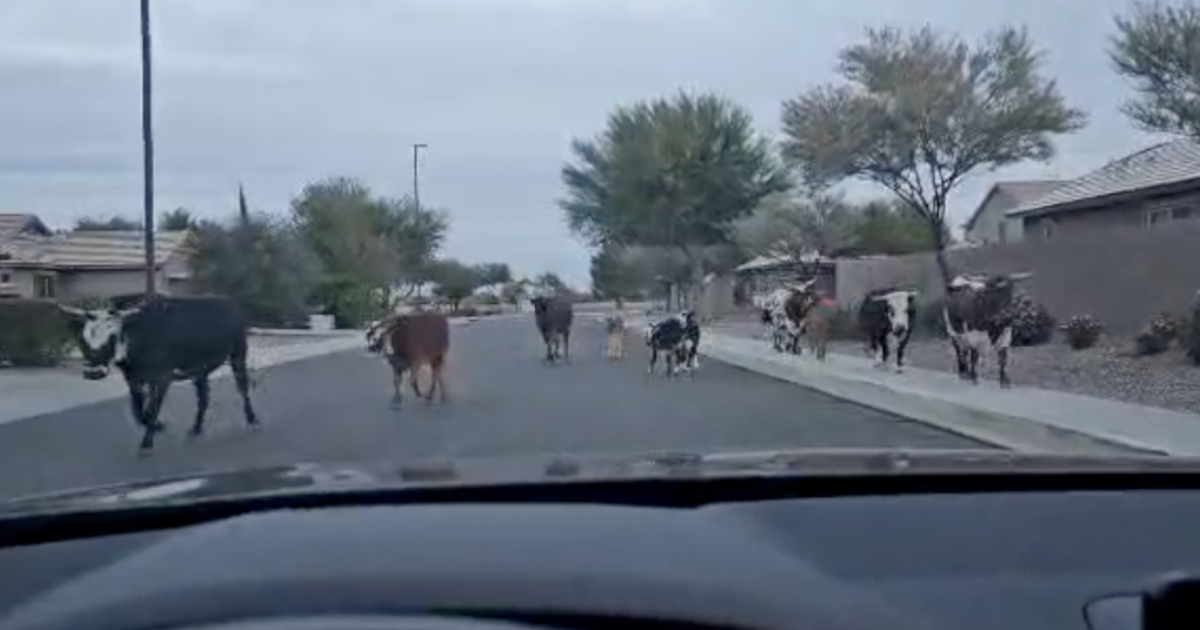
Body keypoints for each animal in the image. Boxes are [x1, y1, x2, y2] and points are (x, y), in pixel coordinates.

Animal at [58, 295, 260, 451]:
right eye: (82, 340)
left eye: (112, 338)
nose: (93, 372)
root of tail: (229, 301)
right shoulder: (133, 379)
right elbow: (138, 410)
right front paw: (156, 425)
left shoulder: (162, 377)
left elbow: (153, 408)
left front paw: (148, 441)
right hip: (199, 369)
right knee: (203, 398)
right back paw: (196, 428)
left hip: (238, 354)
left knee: (243, 387)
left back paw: (252, 419)